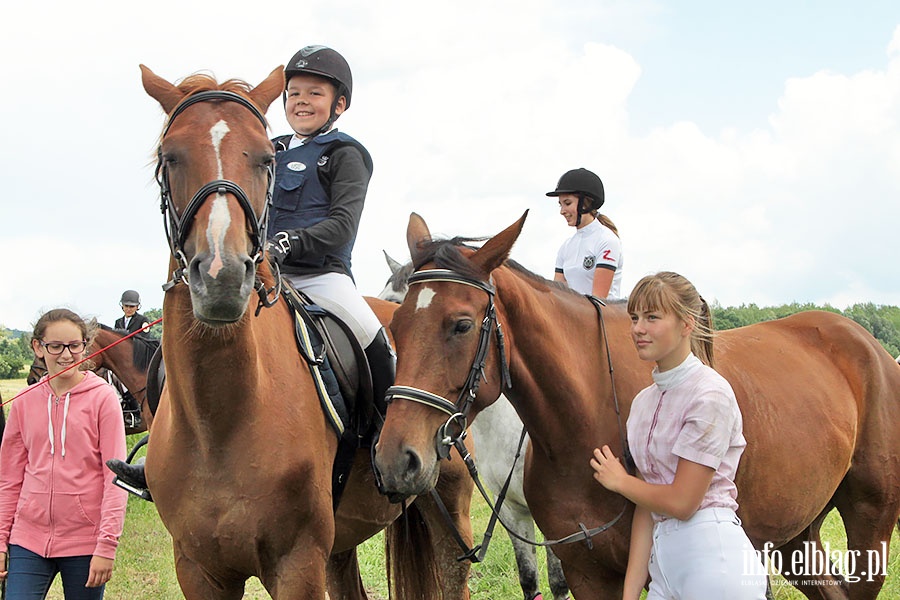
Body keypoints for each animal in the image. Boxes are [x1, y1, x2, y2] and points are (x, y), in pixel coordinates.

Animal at [140, 67, 474, 600]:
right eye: (170, 156)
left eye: (265, 159)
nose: (221, 278)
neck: (220, 422)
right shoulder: (198, 569)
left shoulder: (297, 563)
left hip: (448, 498)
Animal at [374, 213, 900, 600]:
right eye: (395, 324)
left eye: (461, 325)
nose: (396, 461)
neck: (587, 419)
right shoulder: (580, 565)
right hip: (796, 531)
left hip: (870, 519)